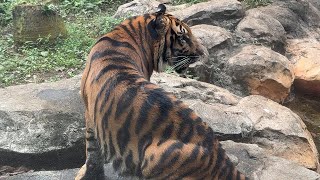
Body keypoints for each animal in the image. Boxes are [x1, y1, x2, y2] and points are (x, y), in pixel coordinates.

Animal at [75, 3, 250, 180]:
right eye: (183, 38)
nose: (203, 53)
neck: (128, 33)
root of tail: (219, 158)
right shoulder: (89, 113)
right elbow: (92, 149)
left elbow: (92, 150)